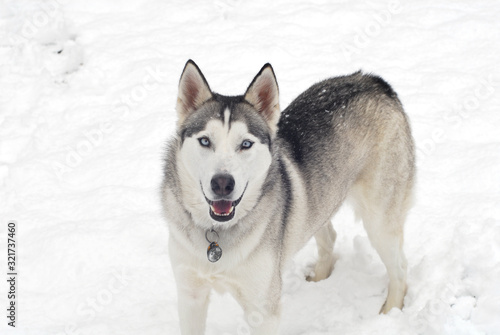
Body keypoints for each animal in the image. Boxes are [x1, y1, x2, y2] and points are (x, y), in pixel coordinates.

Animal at [162, 59, 416, 334]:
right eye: (205, 141)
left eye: (246, 144)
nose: (222, 183)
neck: (217, 235)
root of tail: (374, 81)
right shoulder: (190, 295)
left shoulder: (263, 311)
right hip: (317, 201)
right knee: (329, 235)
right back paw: (319, 277)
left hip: (380, 221)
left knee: (401, 269)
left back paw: (390, 312)